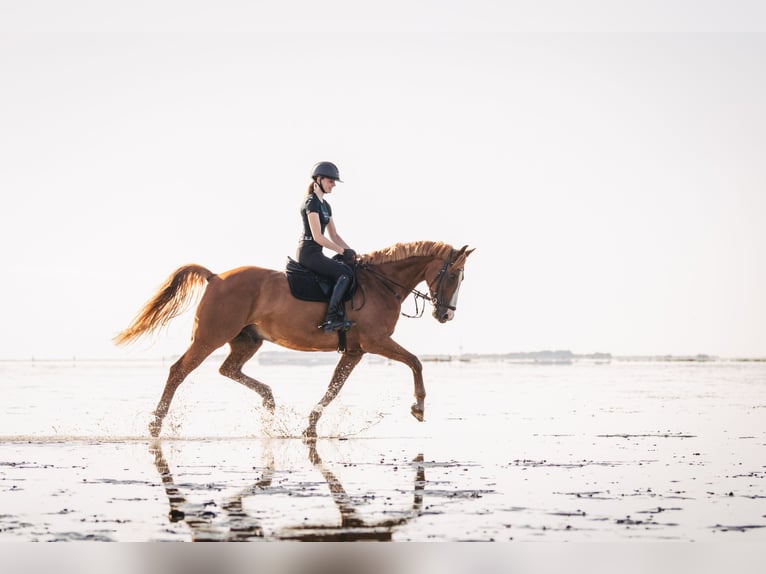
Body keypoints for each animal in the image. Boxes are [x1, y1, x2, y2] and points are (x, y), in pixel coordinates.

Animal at [113, 241, 474, 438]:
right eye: (454, 275)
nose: (446, 315)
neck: (381, 285)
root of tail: (215, 277)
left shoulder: (355, 351)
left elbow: (333, 388)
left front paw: (310, 426)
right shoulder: (375, 342)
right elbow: (415, 361)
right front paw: (419, 406)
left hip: (248, 340)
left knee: (228, 370)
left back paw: (269, 401)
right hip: (210, 337)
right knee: (178, 371)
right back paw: (156, 425)